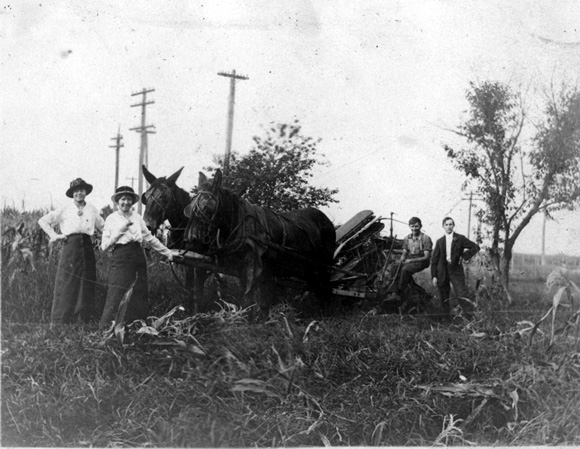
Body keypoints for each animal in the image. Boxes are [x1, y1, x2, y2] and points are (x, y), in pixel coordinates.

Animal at [184, 168, 338, 318]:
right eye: (189, 208)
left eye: (207, 208)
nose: (191, 240)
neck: (242, 224)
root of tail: (327, 220)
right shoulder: (243, 270)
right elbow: (247, 300)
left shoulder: (264, 271)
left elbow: (262, 303)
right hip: (310, 269)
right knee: (319, 290)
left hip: (323, 266)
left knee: (326, 290)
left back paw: (327, 317)